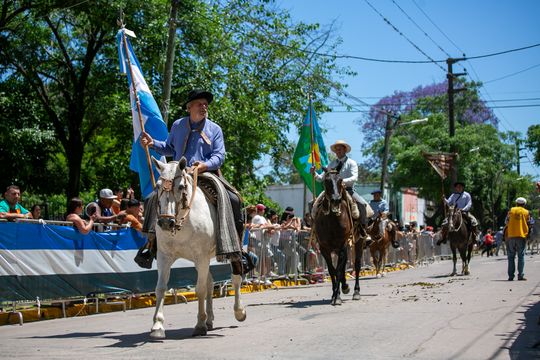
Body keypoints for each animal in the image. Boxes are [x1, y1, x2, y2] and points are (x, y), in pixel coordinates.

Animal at [150, 156, 247, 338]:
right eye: (157, 186)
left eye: (181, 186)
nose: (165, 222)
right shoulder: (164, 256)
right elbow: (160, 288)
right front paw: (157, 326)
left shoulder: (201, 257)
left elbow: (200, 289)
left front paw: (200, 325)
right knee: (210, 282)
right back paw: (209, 319)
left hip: (228, 252)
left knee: (236, 278)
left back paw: (239, 311)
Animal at [312, 170, 368, 306]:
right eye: (326, 180)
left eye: (340, 180)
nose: (336, 200)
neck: (332, 221)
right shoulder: (324, 248)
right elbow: (332, 270)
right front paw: (335, 294)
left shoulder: (342, 244)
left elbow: (338, 269)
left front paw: (337, 297)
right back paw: (345, 286)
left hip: (358, 241)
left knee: (356, 264)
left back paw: (356, 292)